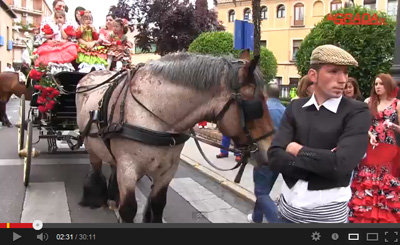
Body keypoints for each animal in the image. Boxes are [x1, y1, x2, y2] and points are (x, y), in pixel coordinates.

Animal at [75, 51, 276, 222]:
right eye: (255, 106)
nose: (270, 150)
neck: (153, 112)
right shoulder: (128, 169)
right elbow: (129, 209)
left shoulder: (168, 170)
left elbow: (158, 204)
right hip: (91, 145)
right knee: (96, 166)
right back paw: (94, 197)